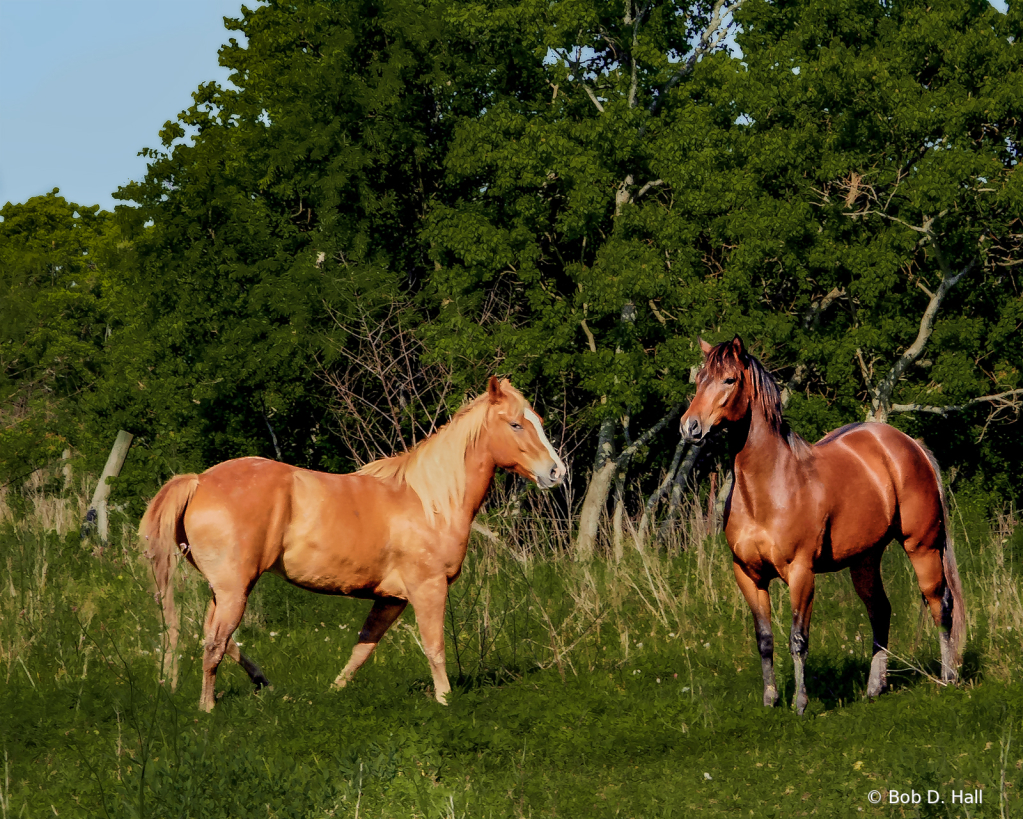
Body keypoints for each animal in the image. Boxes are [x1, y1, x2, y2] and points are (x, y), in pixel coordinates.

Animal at [139, 376, 564, 707]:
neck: (430, 501)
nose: (556, 472)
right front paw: (445, 701)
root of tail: (199, 481)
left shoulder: (391, 599)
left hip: (225, 590)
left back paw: (263, 683)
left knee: (217, 638)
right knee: (214, 643)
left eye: (539, 422)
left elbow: (363, 647)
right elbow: (434, 646)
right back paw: (207, 708)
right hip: (234, 590)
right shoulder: (428, 588)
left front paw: (333, 692)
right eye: (516, 424)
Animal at [683, 335, 961, 711]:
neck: (769, 489)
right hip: (865, 559)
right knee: (880, 610)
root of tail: (909, 445)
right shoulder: (747, 574)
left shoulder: (801, 573)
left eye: (729, 379)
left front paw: (800, 704)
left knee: (939, 603)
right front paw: (770, 700)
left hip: (923, 547)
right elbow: (764, 639)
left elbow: (798, 638)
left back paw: (948, 678)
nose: (690, 426)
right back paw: (875, 687)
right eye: (699, 380)